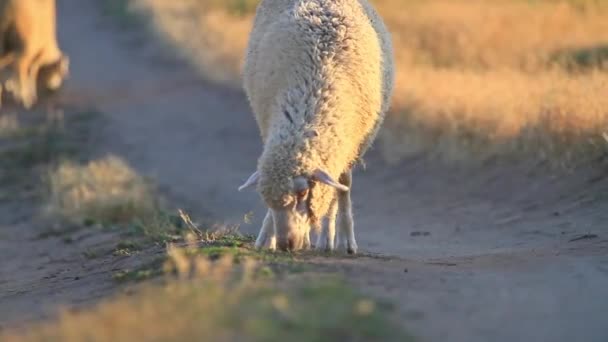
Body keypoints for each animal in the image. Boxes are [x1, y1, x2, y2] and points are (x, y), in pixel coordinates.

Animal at [238, 0, 394, 254]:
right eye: (264, 197)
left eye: (303, 192)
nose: (286, 245)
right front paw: (267, 237)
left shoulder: (347, 145)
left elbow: (340, 189)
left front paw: (343, 239)